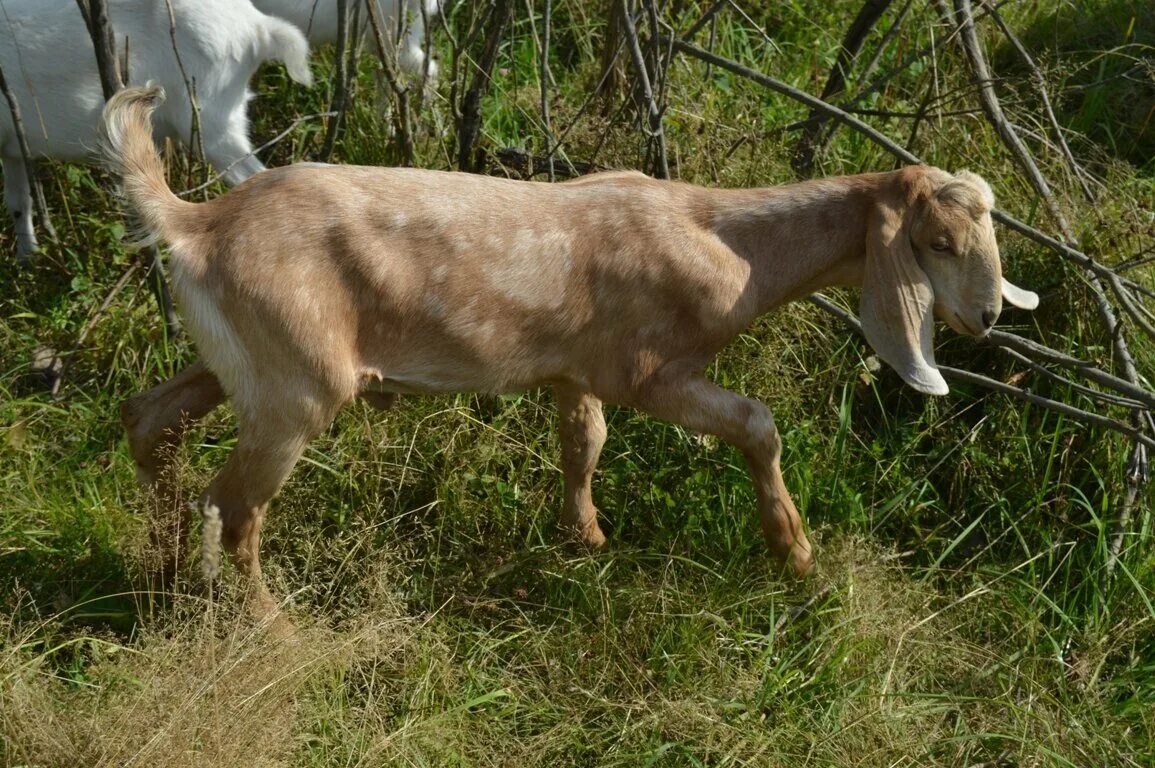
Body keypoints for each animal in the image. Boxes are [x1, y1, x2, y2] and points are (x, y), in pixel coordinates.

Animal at [101, 85, 1039, 623]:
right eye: (939, 242)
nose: (990, 312)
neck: (726, 242)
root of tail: (194, 221)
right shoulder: (648, 370)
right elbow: (756, 423)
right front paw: (794, 555)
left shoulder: (573, 368)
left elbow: (582, 442)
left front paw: (583, 535)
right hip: (297, 384)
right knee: (232, 507)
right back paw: (269, 624)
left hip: (245, 363)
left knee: (149, 419)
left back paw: (157, 563)